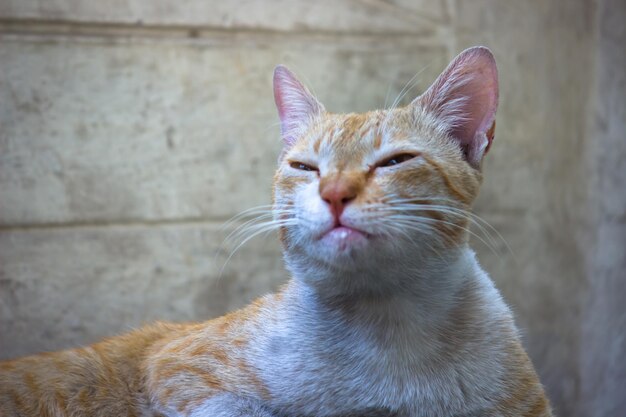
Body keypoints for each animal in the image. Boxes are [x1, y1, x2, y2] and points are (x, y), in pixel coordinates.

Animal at [0, 46, 548, 416]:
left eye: (395, 160)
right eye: (304, 167)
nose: (334, 192)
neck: (387, 326)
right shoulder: (173, 365)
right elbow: (247, 408)